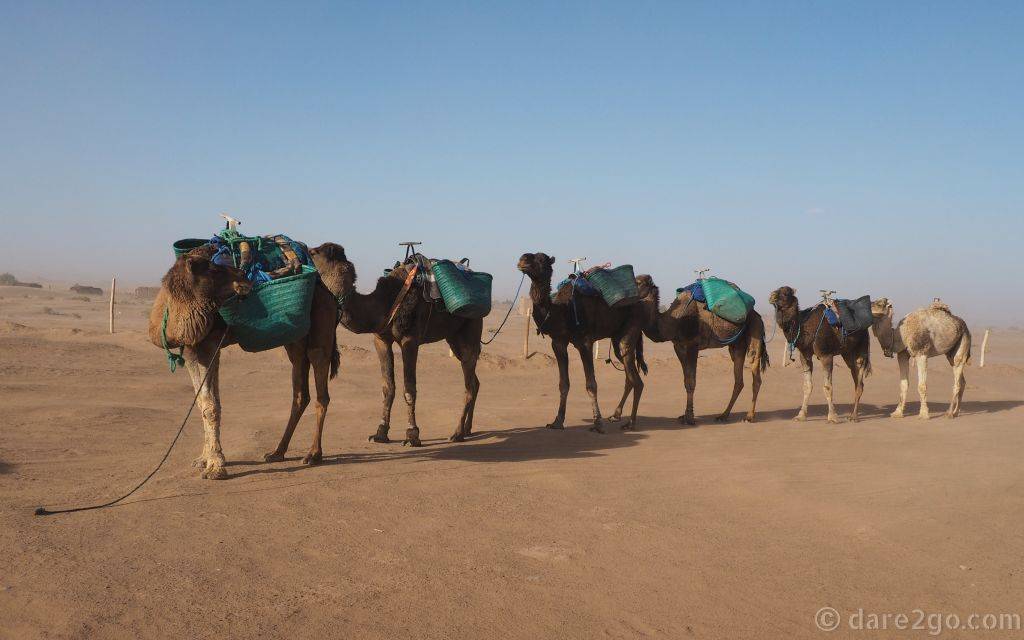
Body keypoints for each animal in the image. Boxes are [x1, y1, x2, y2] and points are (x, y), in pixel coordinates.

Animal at [147, 248, 340, 479]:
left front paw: (216, 466)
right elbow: (204, 401)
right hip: (295, 342)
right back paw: (277, 452)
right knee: (300, 392)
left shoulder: (208, 345)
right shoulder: (195, 349)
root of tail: (330, 294)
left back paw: (313, 454)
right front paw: (203, 459)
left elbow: (210, 405)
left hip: (322, 326)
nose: (242, 275)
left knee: (321, 387)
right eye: (213, 269)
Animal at [310, 243, 481, 446]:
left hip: (472, 326)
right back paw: (468, 429)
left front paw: (412, 434)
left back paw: (457, 433)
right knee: (474, 381)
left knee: (469, 384)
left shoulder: (410, 340)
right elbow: (388, 387)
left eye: (312, 253)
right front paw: (380, 432)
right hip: (453, 337)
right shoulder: (381, 340)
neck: (382, 303)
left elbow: (409, 388)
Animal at [516, 253, 647, 432]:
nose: (522, 260)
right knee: (629, 378)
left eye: (541, 259)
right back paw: (616, 415)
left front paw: (598, 423)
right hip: (616, 338)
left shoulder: (585, 342)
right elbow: (563, 383)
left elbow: (591, 384)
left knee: (636, 379)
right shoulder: (558, 342)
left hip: (631, 328)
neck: (563, 311)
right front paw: (557, 421)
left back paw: (631, 422)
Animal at [635, 275, 768, 424]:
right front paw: (684, 416)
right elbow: (686, 381)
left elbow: (691, 382)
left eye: (638, 282)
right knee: (739, 380)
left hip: (755, 331)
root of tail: (757, 315)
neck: (674, 321)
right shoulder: (679, 347)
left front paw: (690, 418)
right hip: (737, 345)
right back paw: (723, 415)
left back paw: (749, 416)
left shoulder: (693, 345)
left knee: (755, 373)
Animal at [768, 287, 871, 423]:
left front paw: (832, 416)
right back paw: (852, 414)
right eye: (776, 290)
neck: (804, 326)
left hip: (863, 347)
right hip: (847, 353)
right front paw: (801, 415)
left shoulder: (825, 355)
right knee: (855, 375)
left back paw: (854, 416)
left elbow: (827, 387)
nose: (771, 296)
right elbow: (807, 386)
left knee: (859, 379)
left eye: (785, 293)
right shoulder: (805, 355)